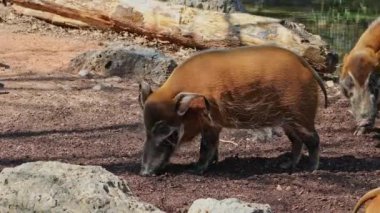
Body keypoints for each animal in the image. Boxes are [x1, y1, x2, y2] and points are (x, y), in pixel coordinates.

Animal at [139, 44, 326, 176]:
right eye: (146, 131)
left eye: (170, 133)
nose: (144, 172)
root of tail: (307, 66)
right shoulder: (213, 125)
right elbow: (211, 145)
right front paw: (213, 163)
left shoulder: (211, 123)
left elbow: (206, 146)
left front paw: (195, 169)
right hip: (288, 122)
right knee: (297, 141)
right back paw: (286, 165)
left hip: (301, 116)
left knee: (314, 139)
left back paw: (311, 169)